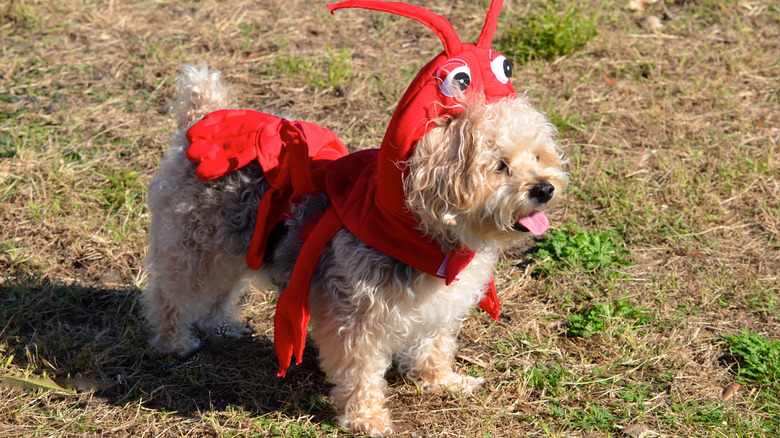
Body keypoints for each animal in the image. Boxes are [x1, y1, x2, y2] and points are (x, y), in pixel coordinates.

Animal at [140, 1, 568, 436]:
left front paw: (441, 381)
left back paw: (223, 325)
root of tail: (202, 115)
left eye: (537, 155)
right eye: (499, 166)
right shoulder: (355, 323)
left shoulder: (440, 307)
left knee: (220, 292)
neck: (424, 233)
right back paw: (174, 343)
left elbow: (435, 345)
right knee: (170, 296)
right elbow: (361, 373)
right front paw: (367, 418)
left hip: (234, 246)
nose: (544, 189)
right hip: (192, 248)